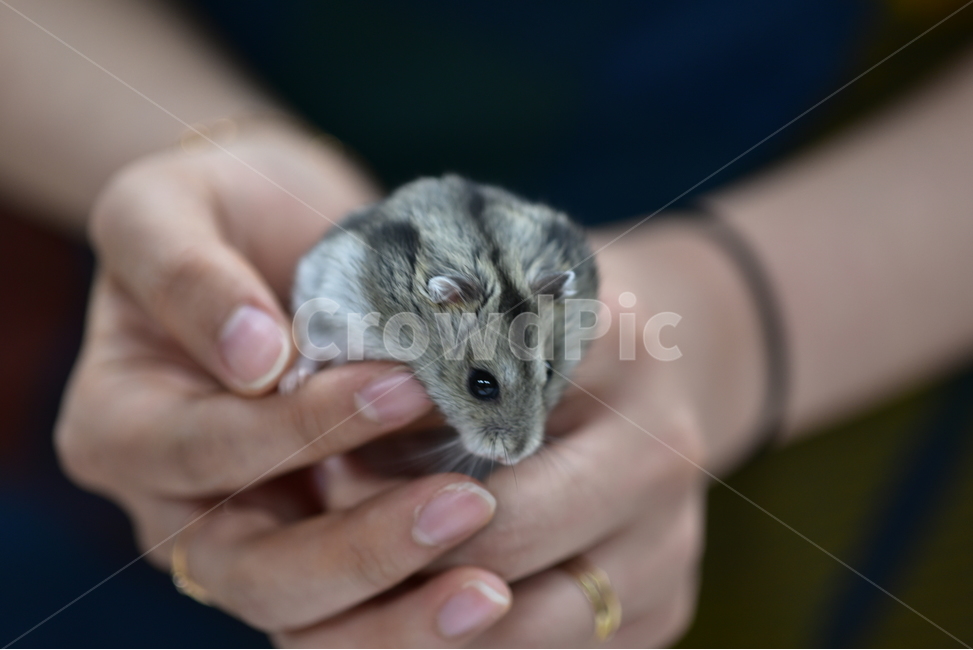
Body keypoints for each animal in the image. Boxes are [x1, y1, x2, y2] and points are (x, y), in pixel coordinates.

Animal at [282, 174, 599, 469]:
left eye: (549, 371)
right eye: (481, 384)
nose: (515, 457)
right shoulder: (331, 303)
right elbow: (315, 347)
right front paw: (291, 386)